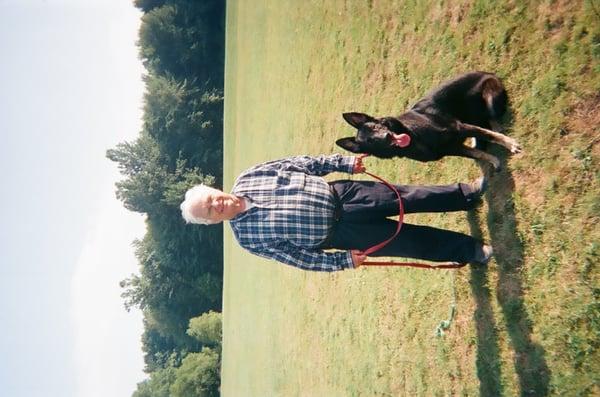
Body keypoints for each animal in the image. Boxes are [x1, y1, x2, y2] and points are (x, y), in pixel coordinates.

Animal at [336, 71, 524, 170]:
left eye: (376, 126)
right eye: (370, 142)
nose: (386, 137)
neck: (414, 137)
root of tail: (489, 73)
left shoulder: (459, 127)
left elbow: (490, 135)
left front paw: (510, 144)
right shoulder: (453, 148)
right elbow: (479, 154)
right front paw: (493, 160)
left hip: (489, 98)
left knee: (492, 121)